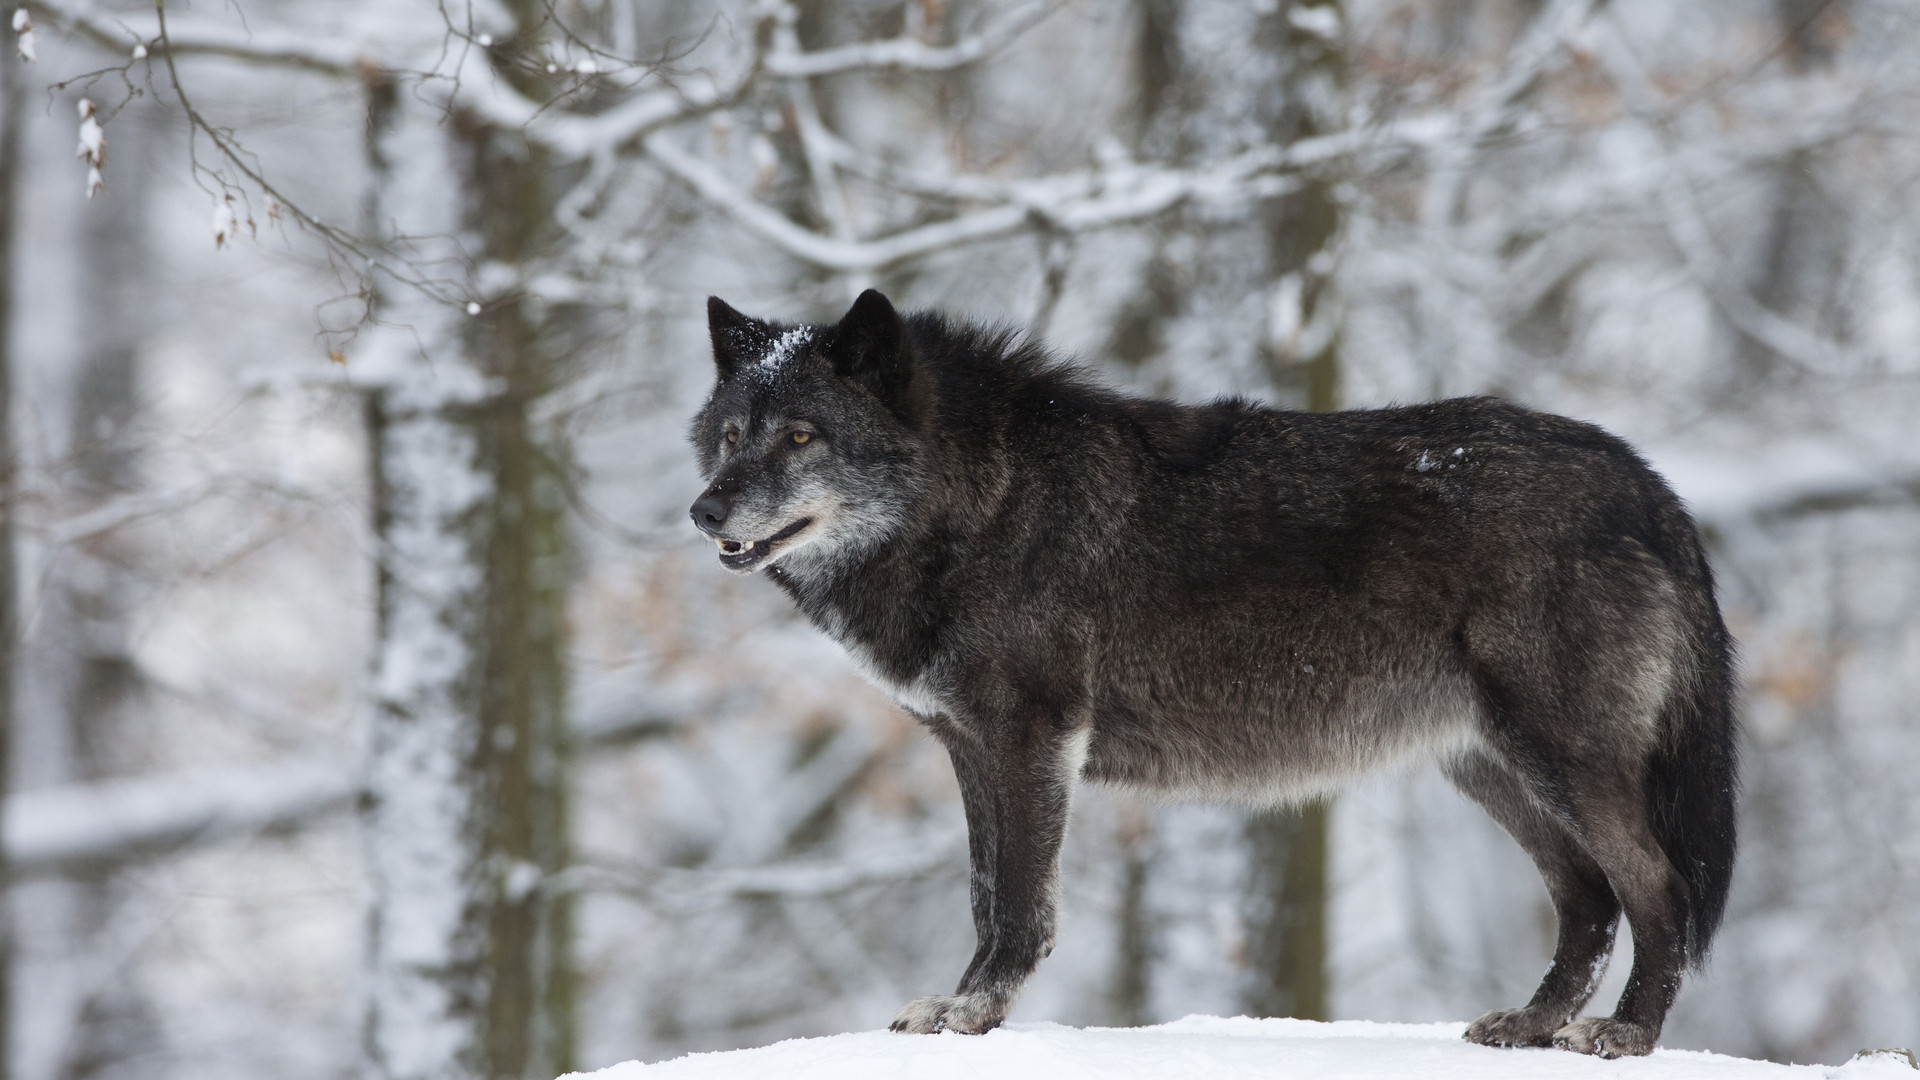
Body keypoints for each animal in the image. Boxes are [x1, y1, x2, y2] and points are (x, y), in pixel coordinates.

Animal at [683, 290, 1735, 1053]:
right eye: (732, 436)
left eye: (803, 437)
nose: (704, 511)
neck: (979, 503)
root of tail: (1647, 481)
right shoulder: (969, 747)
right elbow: (986, 893)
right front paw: (961, 1009)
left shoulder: (1033, 739)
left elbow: (1020, 904)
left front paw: (974, 1015)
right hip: (1492, 768)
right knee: (1589, 900)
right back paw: (1534, 1024)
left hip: (1558, 760)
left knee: (1656, 887)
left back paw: (1625, 1033)